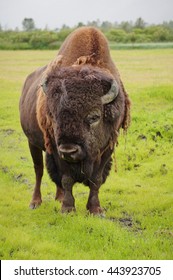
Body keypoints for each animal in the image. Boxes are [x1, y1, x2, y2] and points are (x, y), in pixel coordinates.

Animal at [19, 26, 130, 214]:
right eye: (53, 116)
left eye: (94, 116)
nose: (69, 150)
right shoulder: (56, 149)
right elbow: (66, 178)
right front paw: (68, 208)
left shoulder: (107, 148)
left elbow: (96, 180)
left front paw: (95, 209)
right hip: (32, 142)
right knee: (39, 170)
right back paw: (35, 202)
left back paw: (59, 197)